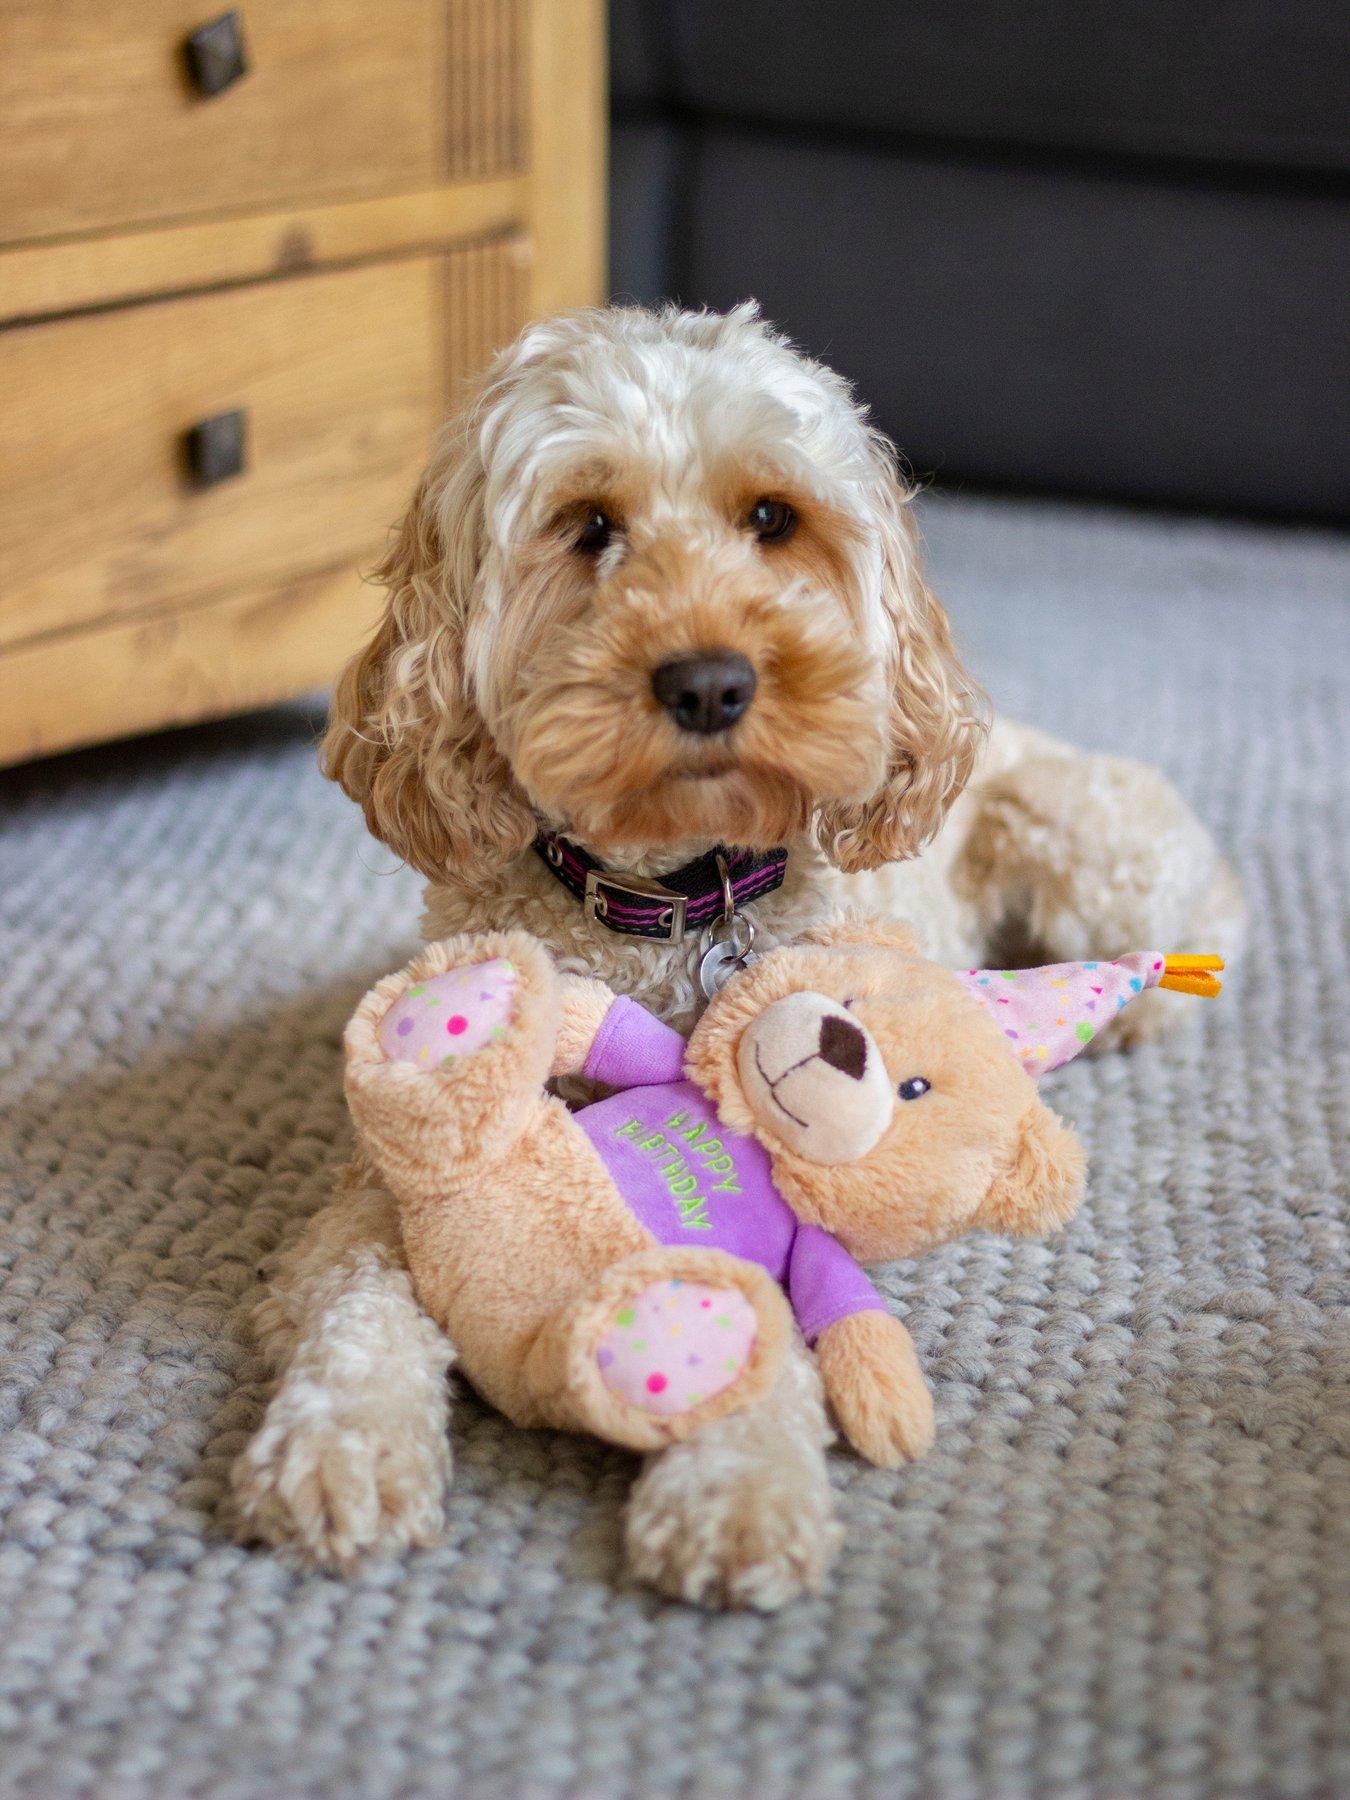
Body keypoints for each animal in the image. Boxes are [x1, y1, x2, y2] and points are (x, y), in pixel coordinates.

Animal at [232, 302, 1245, 1612]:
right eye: (588, 526)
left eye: (771, 518)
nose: (710, 682)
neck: (678, 898)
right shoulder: (382, 1182)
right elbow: (356, 1306)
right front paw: (341, 1444)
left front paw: (738, 1487)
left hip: (1077, 840)